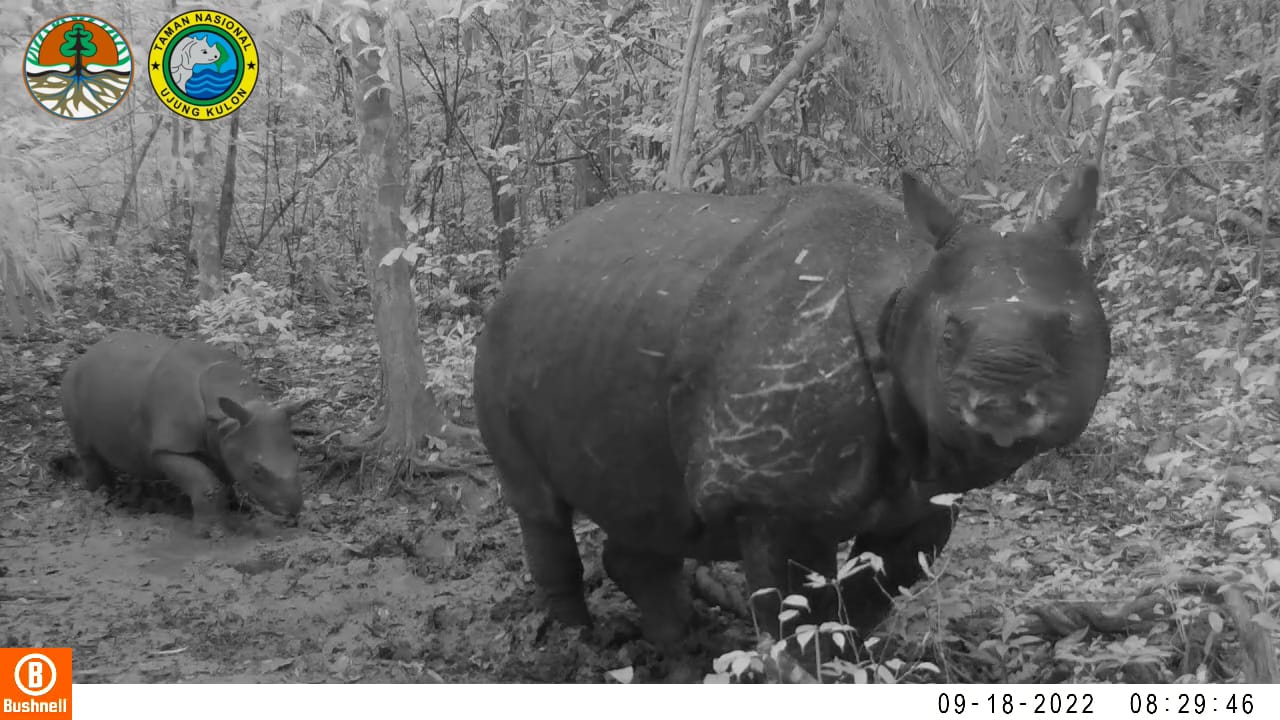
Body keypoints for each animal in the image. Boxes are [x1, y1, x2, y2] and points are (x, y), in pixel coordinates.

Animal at [61, 331, 309, 534]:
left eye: (297, 454)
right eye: (256, 470)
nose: (293, 509)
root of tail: (85, 354)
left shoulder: (225, 439)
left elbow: (226, 477)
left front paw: (235, 511)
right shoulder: (168, 447)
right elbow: (206, 483)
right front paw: (210, 532)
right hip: (72, 384)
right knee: (87, 450)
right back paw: (101, 497)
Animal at [473, 167, 1109, 644]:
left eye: (1068, 328)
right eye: (948, 333)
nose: (1001, 403)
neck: (902, 296)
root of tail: (527, 261)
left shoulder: (927, 496)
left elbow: (868, 599)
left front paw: (855, 663)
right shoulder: (770, 498)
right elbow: (796, 616)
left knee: (652, 509)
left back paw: (674, 654)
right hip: (499, 341)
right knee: (540, 506)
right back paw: (577, 643)